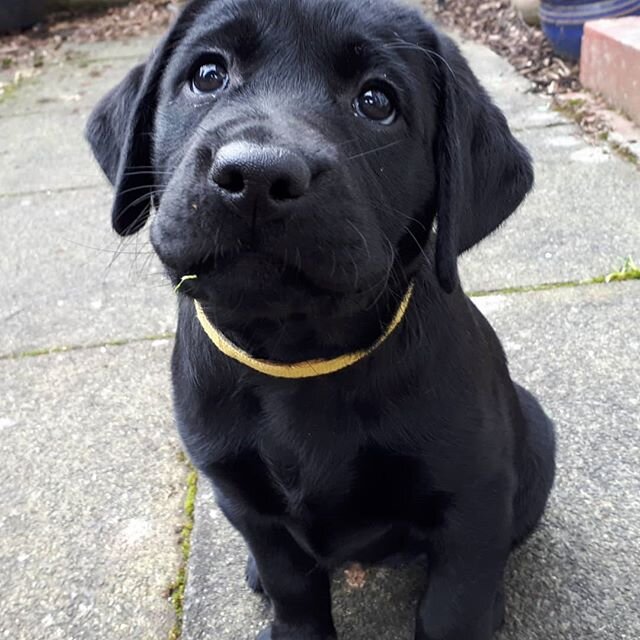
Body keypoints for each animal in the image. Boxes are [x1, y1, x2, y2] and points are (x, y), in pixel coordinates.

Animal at [85, 1, 556, 640]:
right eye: (207, 75)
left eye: (377, 101)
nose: (258, 177)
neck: (296, 356)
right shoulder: (244, 501)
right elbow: (292, 586)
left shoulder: (472, 499)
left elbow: (453, 606)